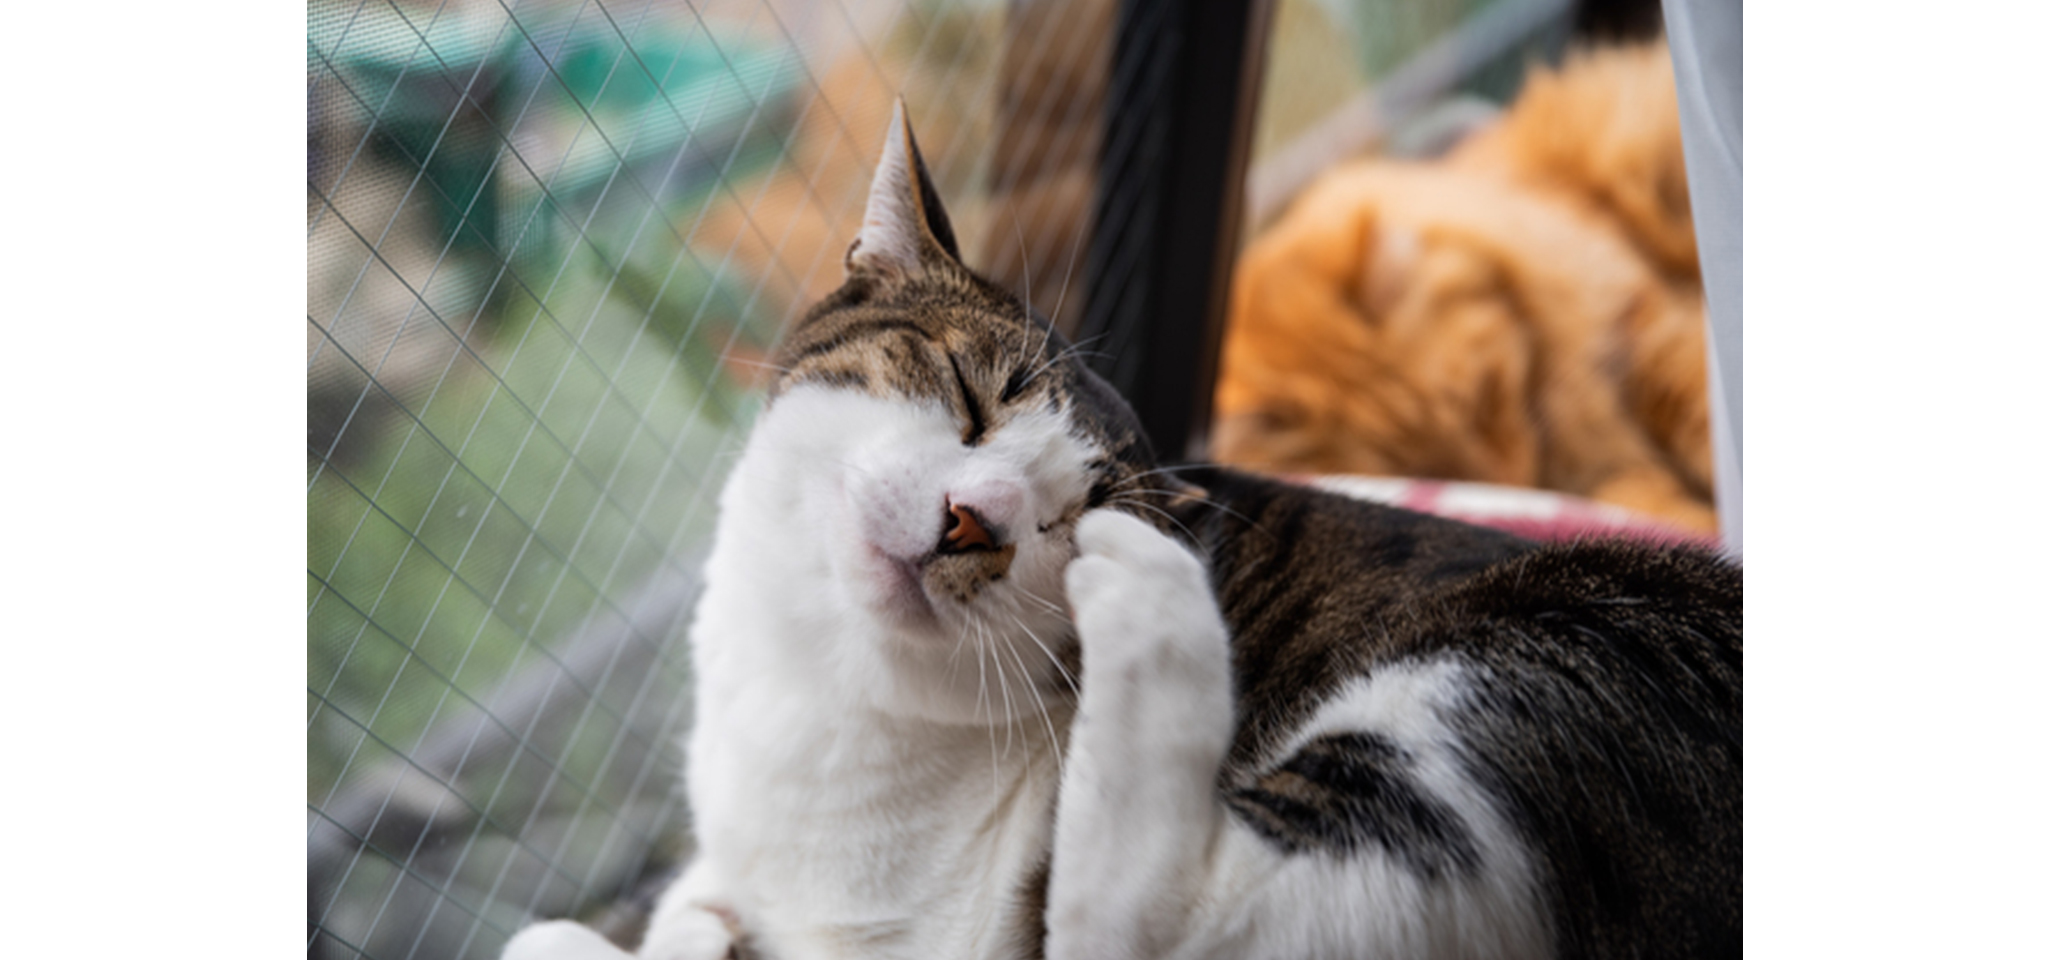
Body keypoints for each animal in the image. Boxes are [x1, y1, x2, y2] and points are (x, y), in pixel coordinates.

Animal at [503, 104, 1736, 957]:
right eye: (969, 396)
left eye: (1070, 513)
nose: (978, 521)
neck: (817, 706)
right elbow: (666, 905)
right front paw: (692, 920)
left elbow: (546, 936)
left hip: (1546, 650)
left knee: (1165, 925)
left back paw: (1148, 594)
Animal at [1204, 42, 1720, 532]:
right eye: (1435, 474)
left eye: (1485, 401)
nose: (1518, 482)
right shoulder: (1608, 469)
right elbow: (1647, 500)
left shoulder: (1652, 338)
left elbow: (1702, 421)